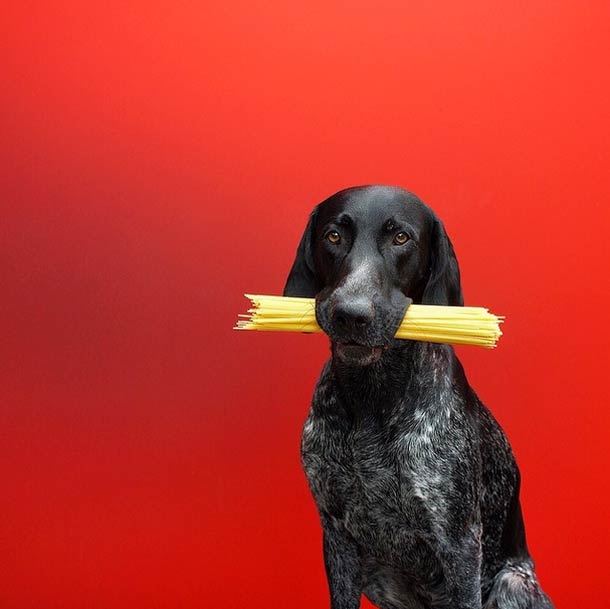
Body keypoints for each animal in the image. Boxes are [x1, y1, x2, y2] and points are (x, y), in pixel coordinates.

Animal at [283, 186, 554, 609]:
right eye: (333, 236)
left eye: (401, 238)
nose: (351, 315)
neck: (372, 397)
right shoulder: (336, 536)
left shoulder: (459, 544)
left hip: (512, 582)